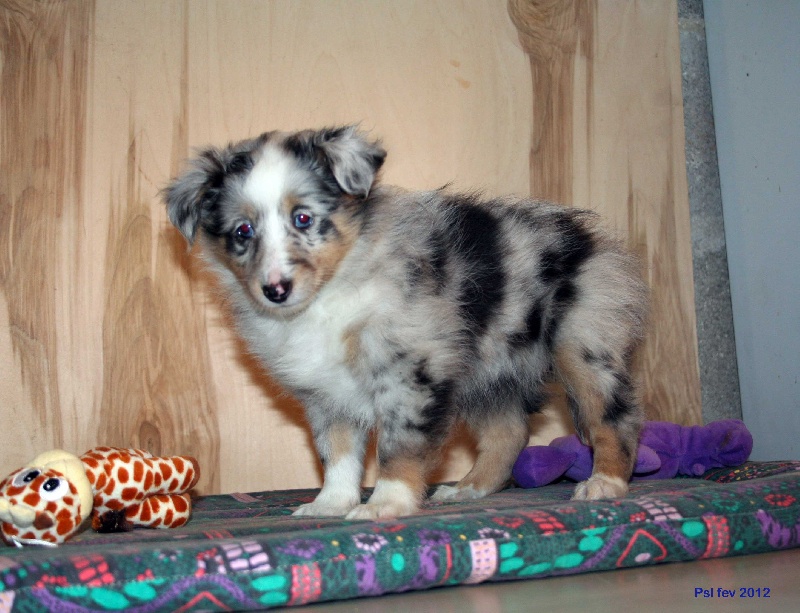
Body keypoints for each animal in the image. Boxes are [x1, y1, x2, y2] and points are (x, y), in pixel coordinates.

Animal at [163, 126, 648, 519]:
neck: (329, 296)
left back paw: (605, 483)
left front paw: (385, 504)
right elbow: (336, 453)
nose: (275, 291)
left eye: (303, 218)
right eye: (242, 232)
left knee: (614, 419)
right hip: (488, 369)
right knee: (509, 431)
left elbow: (397, 447)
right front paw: (330, 503)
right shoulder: (325, 391)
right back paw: (469, 488)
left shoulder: (410, 372)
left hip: (583, 343)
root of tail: (593, 240)